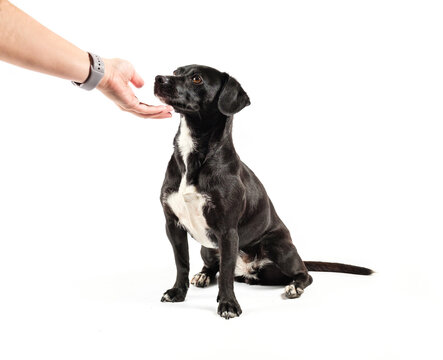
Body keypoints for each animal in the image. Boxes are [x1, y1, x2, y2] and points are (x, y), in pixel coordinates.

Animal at [154, 66, 372, 320]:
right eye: (176, 71)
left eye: (196, 78)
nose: (158, 79)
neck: (193, 154)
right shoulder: (173, 225)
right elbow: (182, 264)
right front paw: (177, 292)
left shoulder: (227, 231)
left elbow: (225, 274)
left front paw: (228, 304)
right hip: (207, 249)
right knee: (213, 267)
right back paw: (204, 275)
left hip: (278, 247)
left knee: (304, 274)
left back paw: (294, 287)